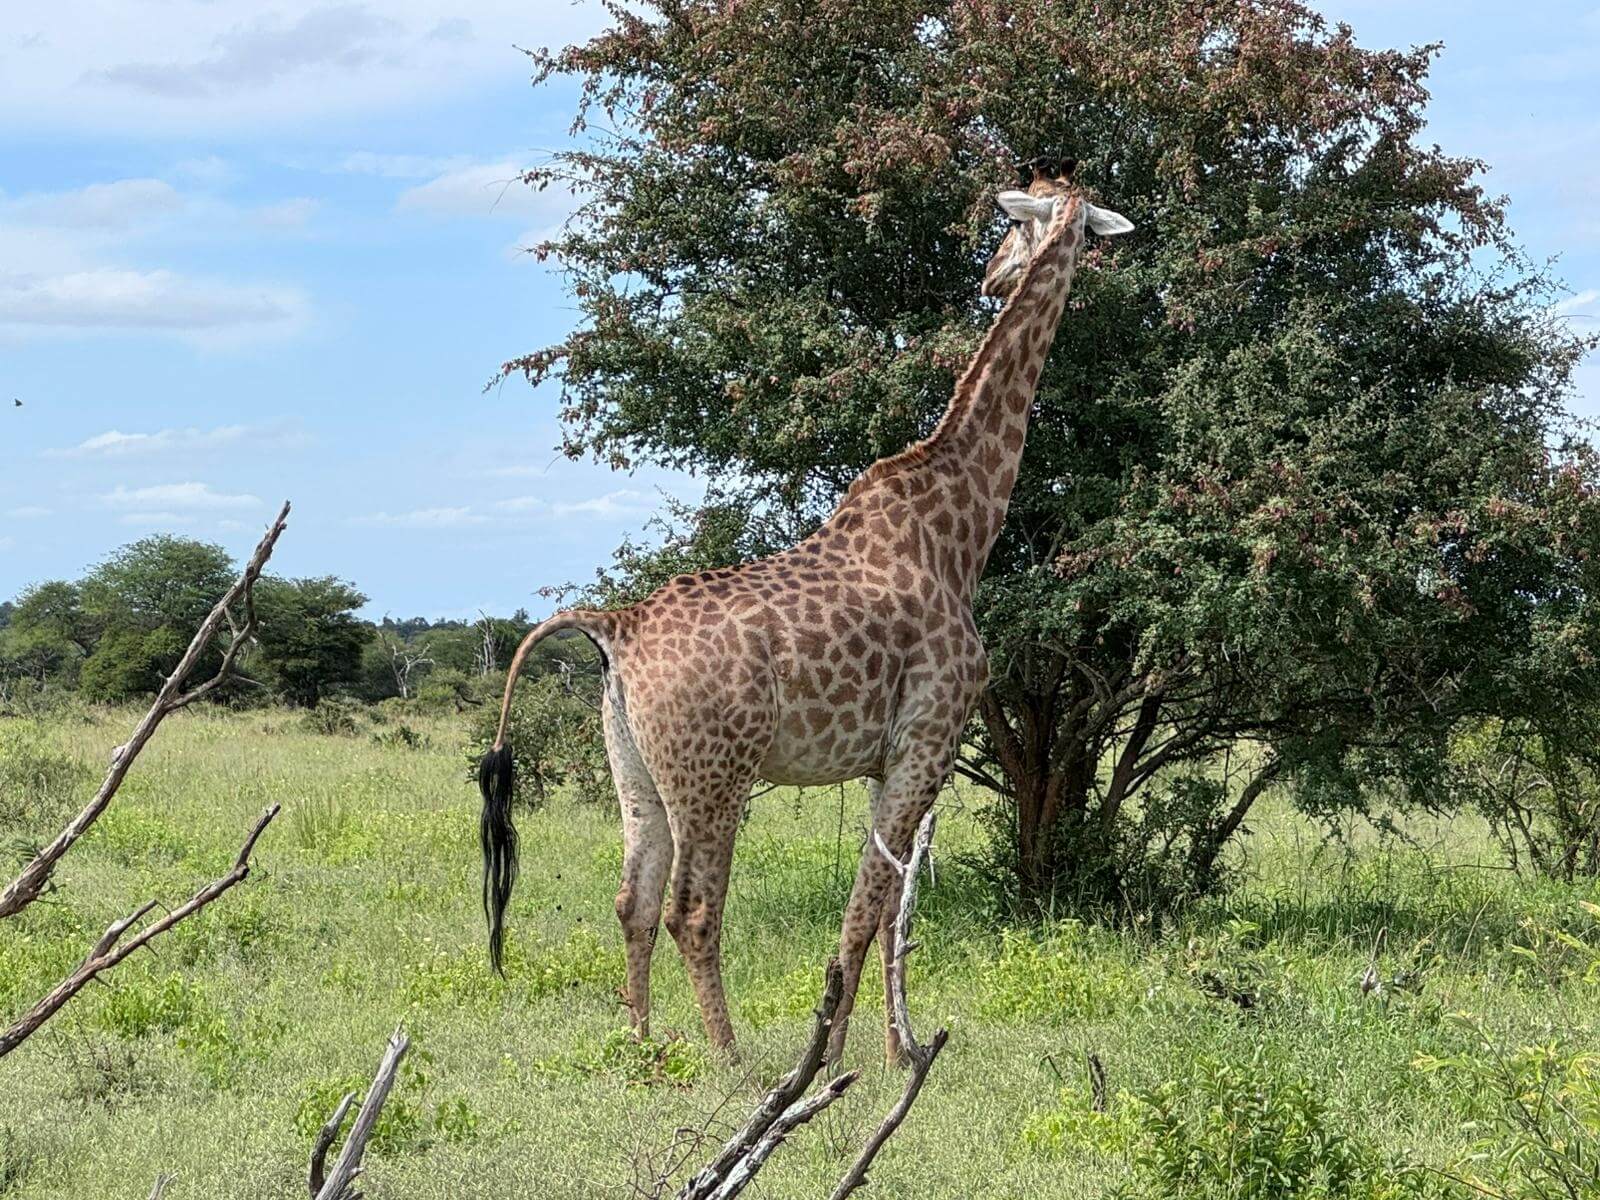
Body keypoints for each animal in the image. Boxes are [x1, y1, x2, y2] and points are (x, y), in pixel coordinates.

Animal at [479, 159, 1133, 1063]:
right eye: (1014, 223)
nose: (992, 274)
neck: (960, 528)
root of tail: (619, 626)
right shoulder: (926, 743)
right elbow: (868, 908)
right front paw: (849, 1053)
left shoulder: (890, 758)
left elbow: (889, 908)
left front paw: (883, 1044)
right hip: (714, 778)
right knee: (693, 912)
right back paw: (732, 1059)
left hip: (634, 771)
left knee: (633, 901)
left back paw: (642, 1044)